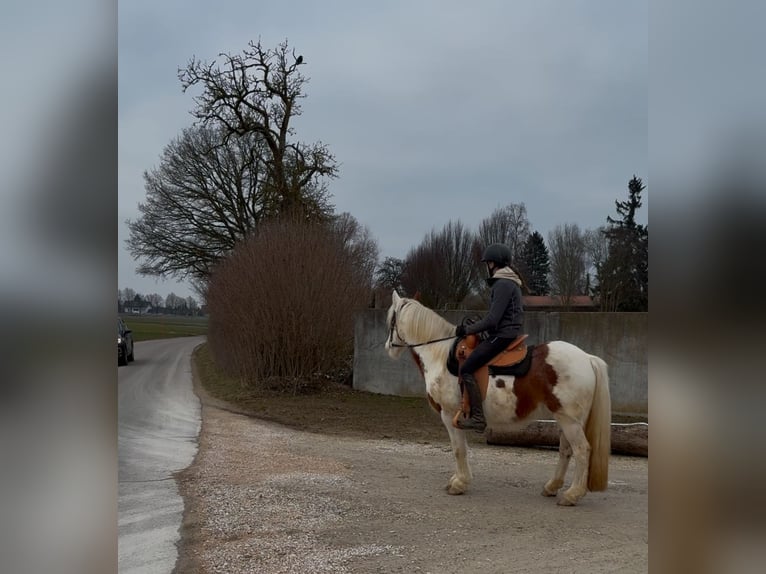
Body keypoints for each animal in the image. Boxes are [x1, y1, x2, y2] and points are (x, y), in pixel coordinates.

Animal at [384, 292, 612, 508]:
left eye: (391, 320)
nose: (388, 347)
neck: (441, 356)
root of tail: (587, 358)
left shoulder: (449, 415)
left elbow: (458, 449)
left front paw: (459, 483)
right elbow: (461, 448)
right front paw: (458, 480)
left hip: (569, 420)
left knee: (582, 451)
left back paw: (572, 495)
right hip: (566, 419)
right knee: (566, 451)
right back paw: (552, 487)